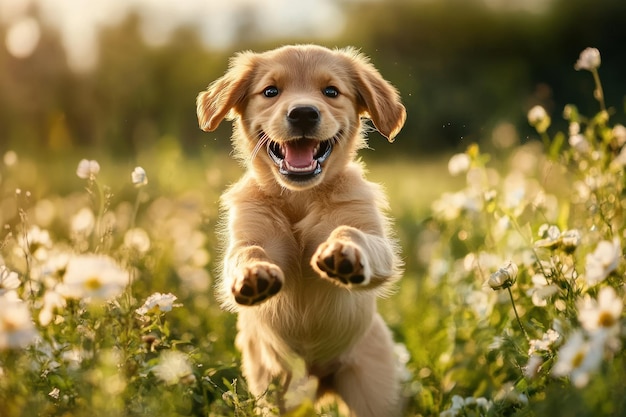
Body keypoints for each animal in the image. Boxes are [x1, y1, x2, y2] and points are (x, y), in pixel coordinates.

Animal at [197, 44, 408, 414]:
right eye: (270, 91)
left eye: (331, 92)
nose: (304, 114)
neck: (300, 197)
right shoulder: (250, 234)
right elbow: (248, 252)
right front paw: (252, 275)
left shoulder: (376, 240)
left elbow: (353, 233)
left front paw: (342, 252)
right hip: (273, 390)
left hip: (371, 387)